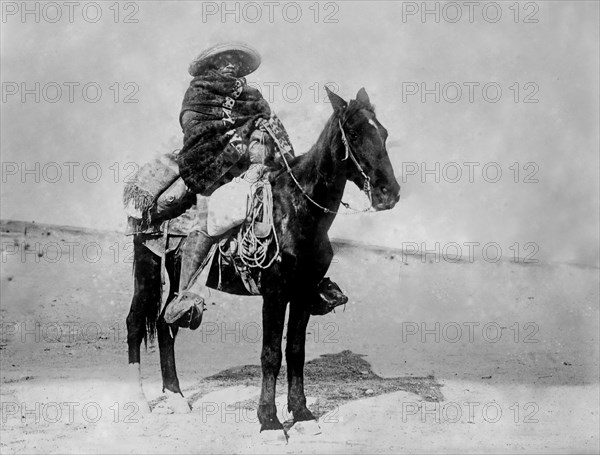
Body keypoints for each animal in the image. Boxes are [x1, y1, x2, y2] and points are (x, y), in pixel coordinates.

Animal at [126, 87, 398, 440]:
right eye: (353, 133)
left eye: (384, 133)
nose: (389, 193)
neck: (296, 212)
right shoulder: (275, 294)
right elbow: (271, 354)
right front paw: (270, 421)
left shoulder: (302, 293)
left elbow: (295, 351)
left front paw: (302, 414)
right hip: (146, 265)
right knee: (136, 323)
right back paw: (140, 401)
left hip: (174, 276)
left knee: (164, 324)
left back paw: (176, 397)